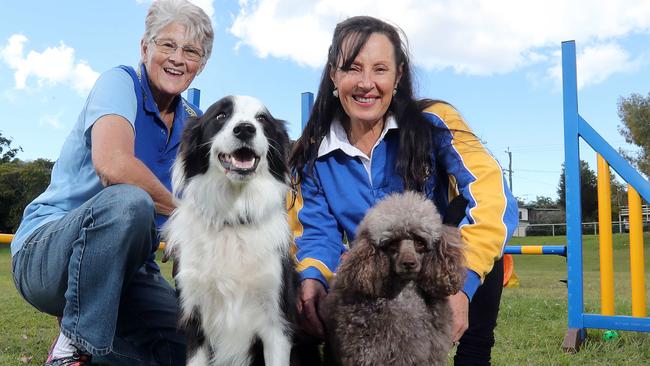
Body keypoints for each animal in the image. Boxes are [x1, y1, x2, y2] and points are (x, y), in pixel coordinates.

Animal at [166, 95, 298, 366]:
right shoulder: (195, 319)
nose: (245, 129)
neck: (233, 219)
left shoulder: (277, 323)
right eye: (221, 115)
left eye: (262, 119)